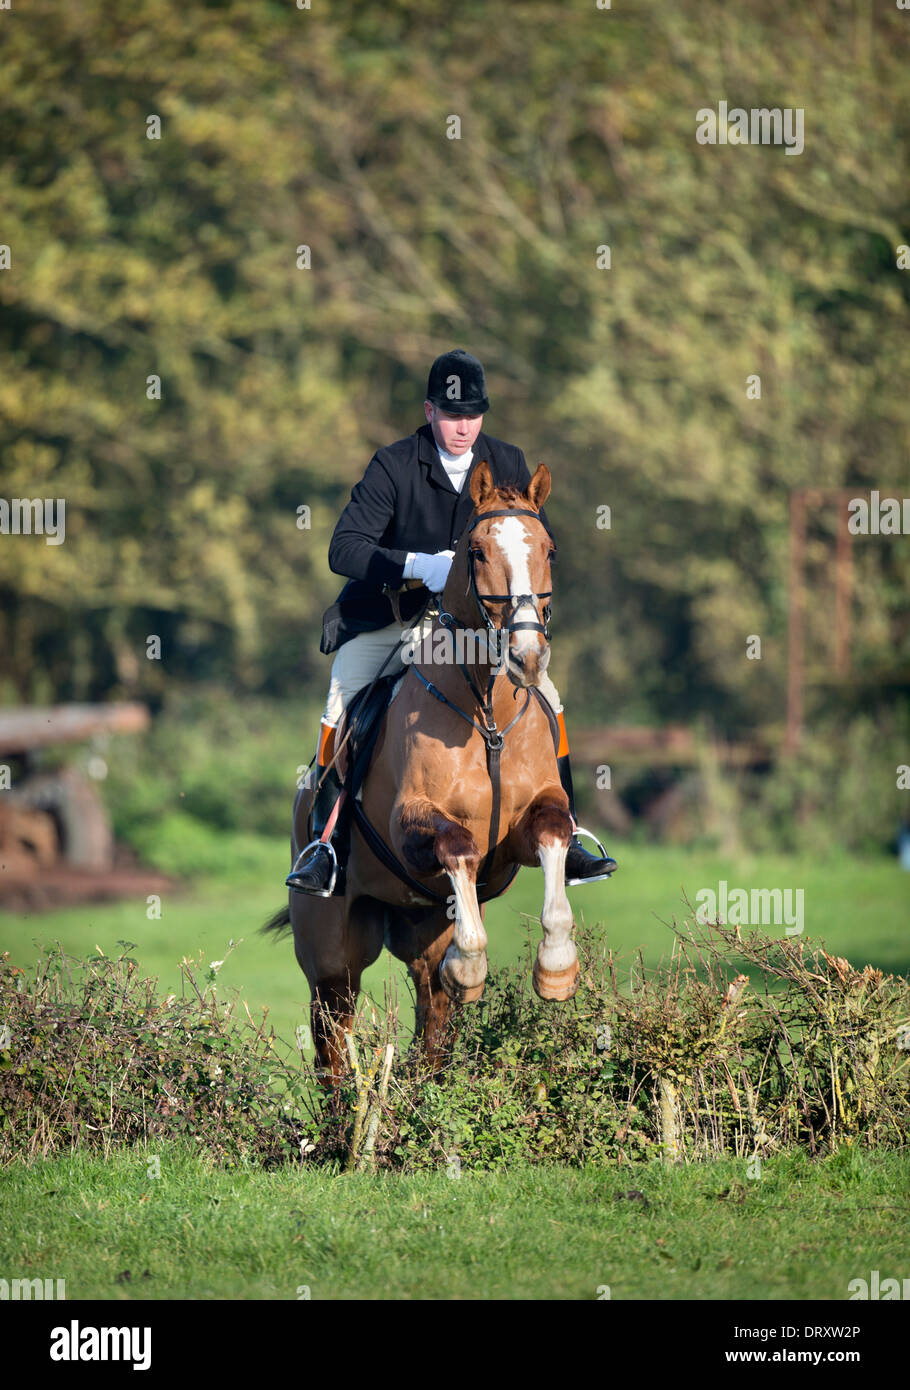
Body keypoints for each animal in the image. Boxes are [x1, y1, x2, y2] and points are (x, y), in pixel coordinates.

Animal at [263, 461, 580, 1078]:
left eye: (549, 549)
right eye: (476, 552)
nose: (527, 658)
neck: (487, 711)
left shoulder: (524, 830)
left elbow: (554, 835)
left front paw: (556, 967)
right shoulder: (414, 824)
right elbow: (458, 845)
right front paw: (473, 965)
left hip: (422, 931)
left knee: (433, 1021)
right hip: (332, 955)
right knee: (333, 1043)